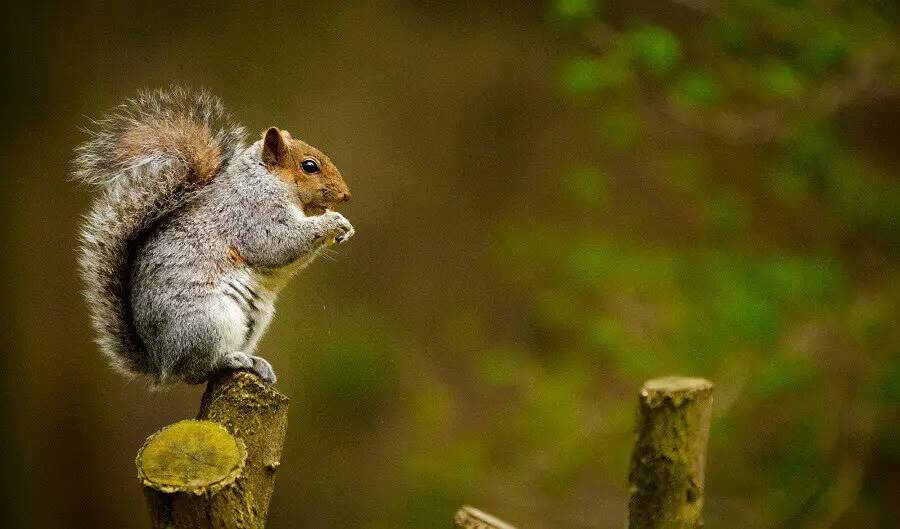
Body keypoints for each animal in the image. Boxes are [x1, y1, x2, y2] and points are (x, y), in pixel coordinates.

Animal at [74, 87, 354, 385]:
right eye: (309, 166)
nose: (346, 195)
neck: (266, 179)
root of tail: (160, 362)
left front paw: (344, 228)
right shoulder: (253, 215)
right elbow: (278, 243)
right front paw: (331, 222)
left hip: (253, 322)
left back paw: (256, 363)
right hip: (209, 321)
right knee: (194, 371)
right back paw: (229, 360)